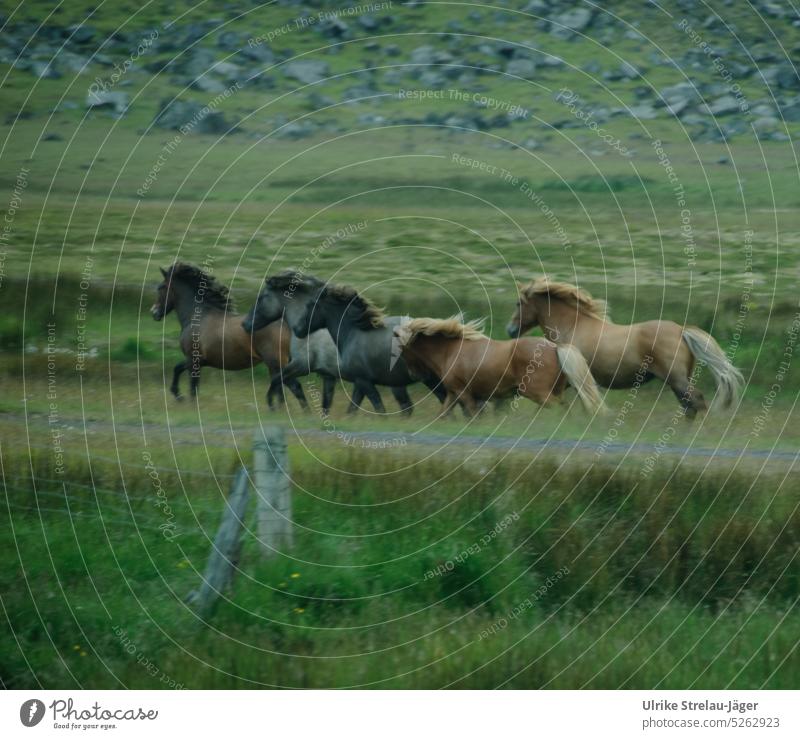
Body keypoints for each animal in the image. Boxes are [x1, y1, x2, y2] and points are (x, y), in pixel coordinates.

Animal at [150, 262, 306, 410]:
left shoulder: (193, 360)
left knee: (294, 386)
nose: (154, 313)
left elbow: (192, 386)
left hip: (275, 362)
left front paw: (185, 401)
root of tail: (286, 323)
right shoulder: (199, 361)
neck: (199, 317)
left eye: (161, 287)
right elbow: (178, 369)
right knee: (281, 388)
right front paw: (178, 396)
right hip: (275, 365)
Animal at [290, 278, 450, 414]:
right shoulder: (360, 382)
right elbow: (353, 409)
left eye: (310, 305)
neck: (353, 333)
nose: (298, 330)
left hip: (430, 379)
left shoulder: (364, 381)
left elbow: (378, 407)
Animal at [394, 318, 608, 420]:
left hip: (536, 392)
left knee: (558, 408)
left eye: (402, 350)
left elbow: (474, 415)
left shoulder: (464, 392)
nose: (414, 374)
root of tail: (556, 347)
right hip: (553, 391)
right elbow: (443, 414)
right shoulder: (454, 393)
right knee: (563, 408)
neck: (451, 351)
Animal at [506, 278, 744, 420]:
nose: (510, 330)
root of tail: (681, 330)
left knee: (696, 401)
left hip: (676, 378)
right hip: (678, 380)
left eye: (518, 303)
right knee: (689, 406)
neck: (573, 326)